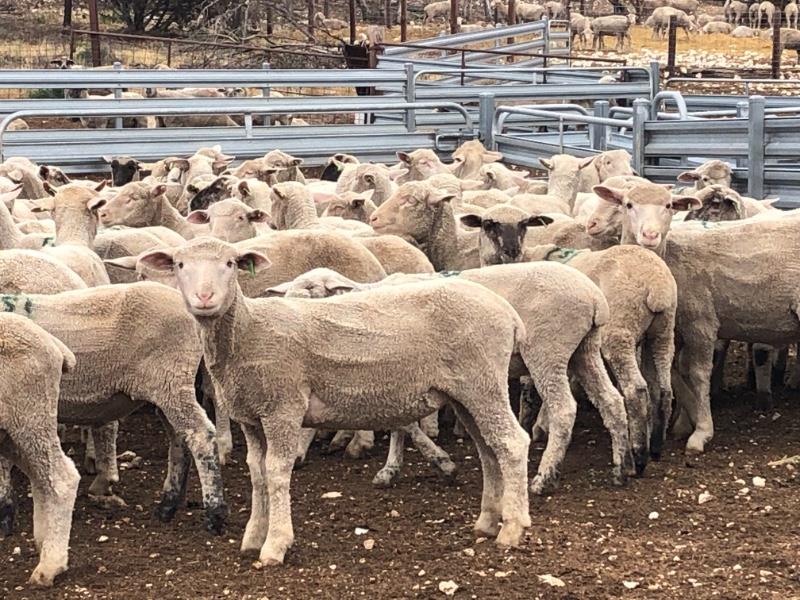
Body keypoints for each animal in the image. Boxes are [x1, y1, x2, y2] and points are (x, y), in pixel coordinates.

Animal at [0, 282, 227, 532]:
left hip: (172, 380)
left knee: (200, 435)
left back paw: (215, 514)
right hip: (169, 387)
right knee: (180, 439)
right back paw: (168, 505)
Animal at [0, 314, 80, 587]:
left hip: (31, 415)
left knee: (61, 479)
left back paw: (50, 565)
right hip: (12, 432)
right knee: (41, 478)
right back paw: (45, 543)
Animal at [138, 237, 533, 562]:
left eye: (231, 263)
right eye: (180, 265)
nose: (205, 298)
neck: (249, 332)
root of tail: (507, 311)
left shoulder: (283, 407)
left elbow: (276, 471)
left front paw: (275, 544)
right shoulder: (251, 416)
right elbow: (256, 472)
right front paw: (253, 537)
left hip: (483, 382)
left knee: (512, 442)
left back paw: (512, 529)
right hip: (466, 393)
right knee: (488, 449)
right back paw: (487, 521)